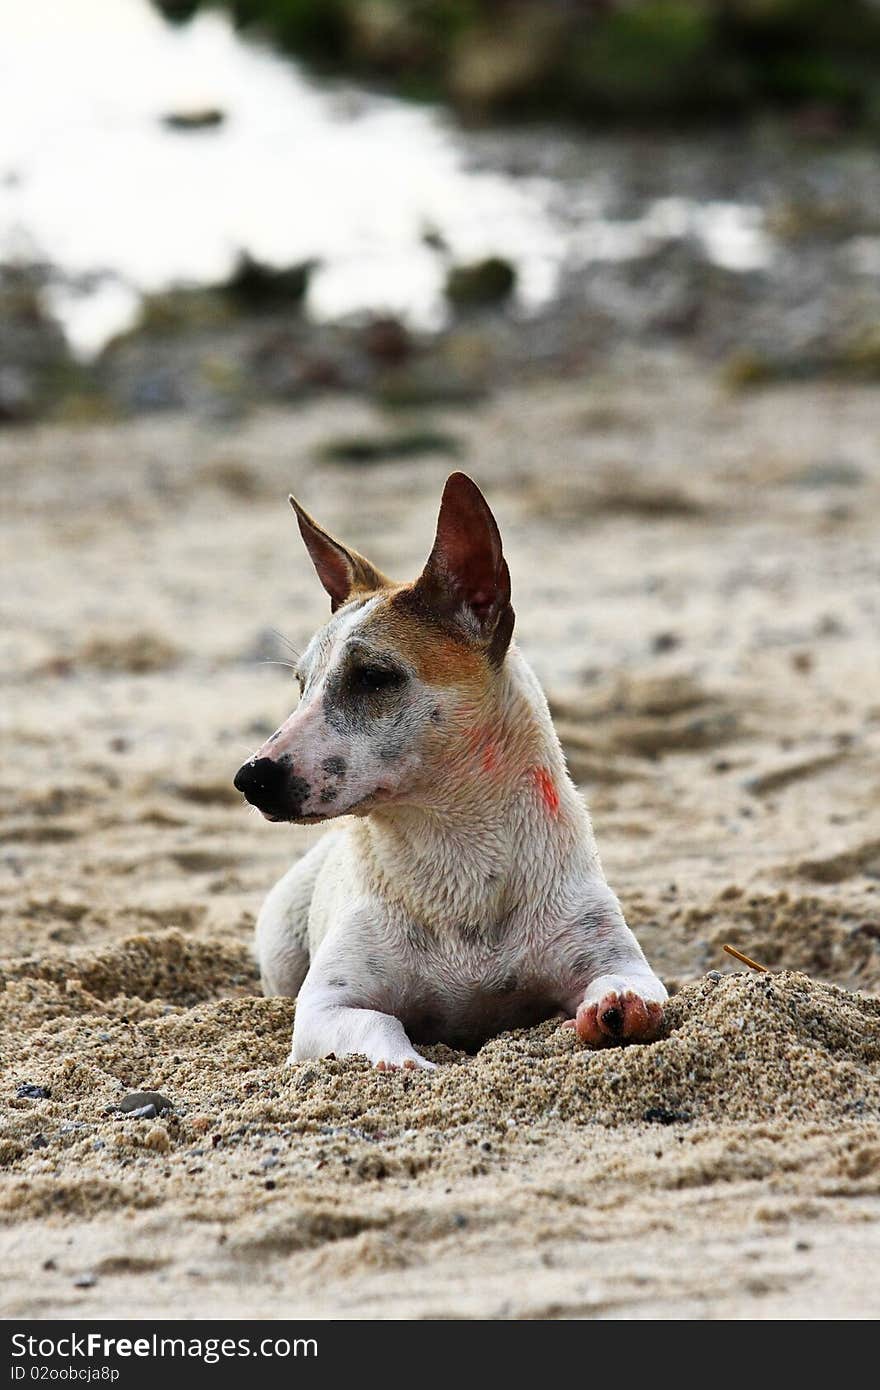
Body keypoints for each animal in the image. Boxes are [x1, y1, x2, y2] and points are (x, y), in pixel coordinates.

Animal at [234, 472, 664, 1067]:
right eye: (301, 686)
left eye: (374, 677)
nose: (249, 778)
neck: (455, 852)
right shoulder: (325, 1007)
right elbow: (378, 1025)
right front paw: (409, 1064)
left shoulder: (617, 959)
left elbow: (629, 988)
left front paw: (615, 1008)